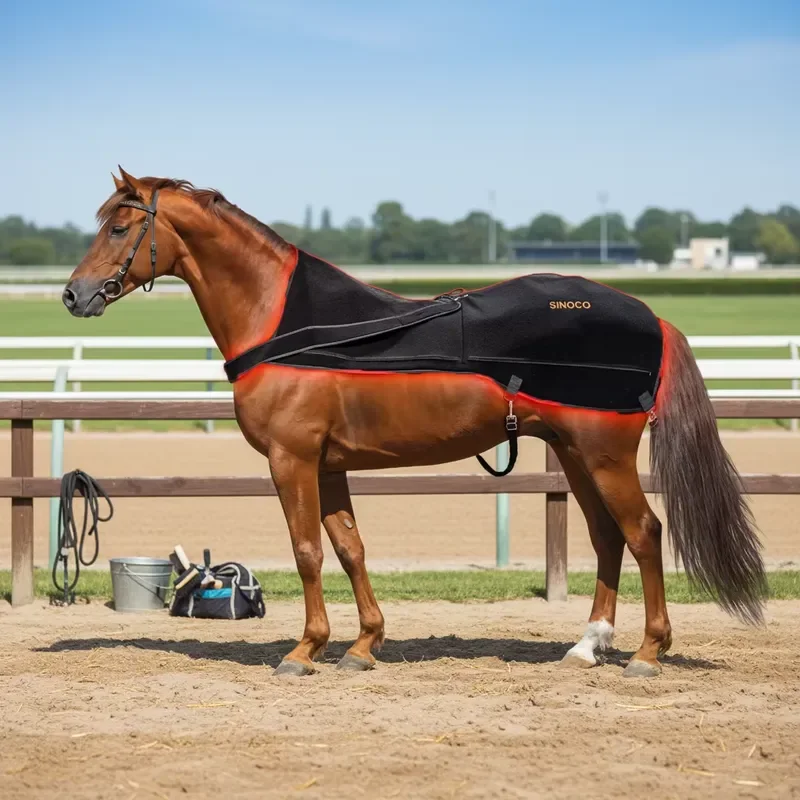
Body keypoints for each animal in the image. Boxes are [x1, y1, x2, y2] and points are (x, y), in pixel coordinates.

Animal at [62, 169, 766, 678]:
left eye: (120, 227)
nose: (75, 295)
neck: (286, 321)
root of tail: (649, 317)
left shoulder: (292, 460)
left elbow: (308, 551)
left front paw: (304, 651)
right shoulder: (329, 466)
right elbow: (348, 548)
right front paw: (361, 646)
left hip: (604, 455)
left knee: (644, 533)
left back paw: (647, 654)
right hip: (574, 453)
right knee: (607, 537)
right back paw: (587, 646)